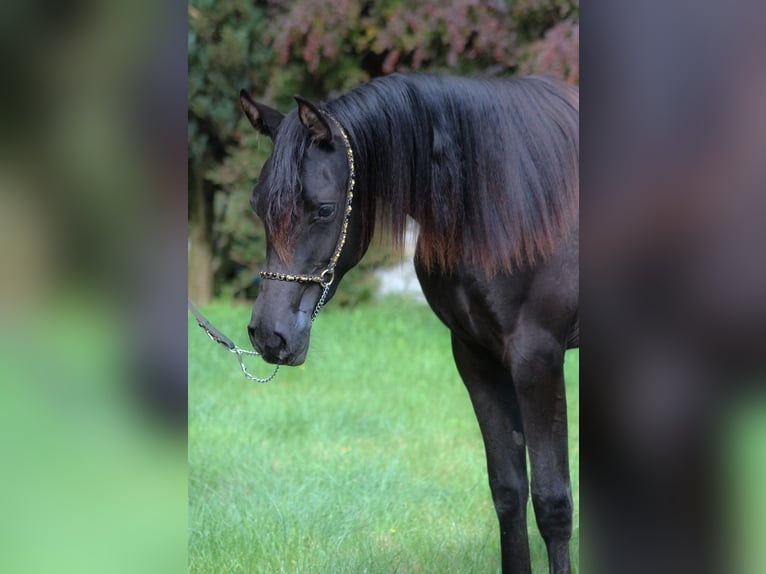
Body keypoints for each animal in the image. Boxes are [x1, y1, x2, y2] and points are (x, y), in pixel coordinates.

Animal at [240, 72, 578, 574]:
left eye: (324, 209)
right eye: (258, 205)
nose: (269, 335)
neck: (506, 202)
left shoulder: (538, 358)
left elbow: (553, 504)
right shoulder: (476, 357)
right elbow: (508, 492)